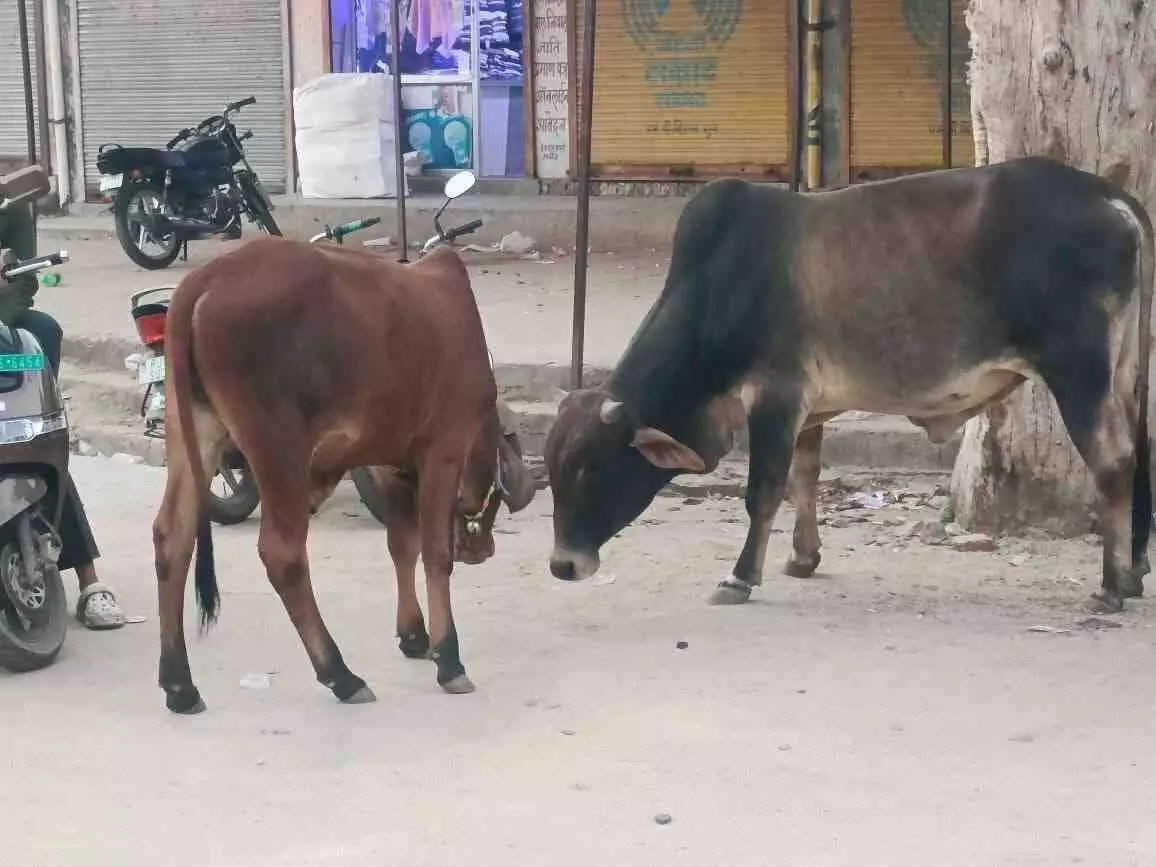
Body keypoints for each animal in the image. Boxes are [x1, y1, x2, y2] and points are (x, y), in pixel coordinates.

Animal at [152, 237, 536, 715]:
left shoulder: (390, 465)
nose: (483, 550)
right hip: (279, 450)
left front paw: (414, 635)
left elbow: (402, 547)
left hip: (196, 430)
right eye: (496, 498)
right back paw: (341, 675)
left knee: (173, 537)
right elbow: (434, 554)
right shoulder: (443, 451)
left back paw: (179, 685)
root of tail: (205, 280)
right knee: (282, 554)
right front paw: (448, 659)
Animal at [546, 157, 1154, 616]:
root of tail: (1114, 199)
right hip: (1126, 374)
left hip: (1079, 373)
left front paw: (741, 577)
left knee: (1112, 460)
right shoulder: (808, 409)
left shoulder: (775, 395)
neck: (719, 286)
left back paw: (1110, 586)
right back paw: (1134, 571)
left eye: (592, 468)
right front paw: (802, 559)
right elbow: (805, 477)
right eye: (552, 470)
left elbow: (764, 490)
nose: (562, 565)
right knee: (1139, 453)